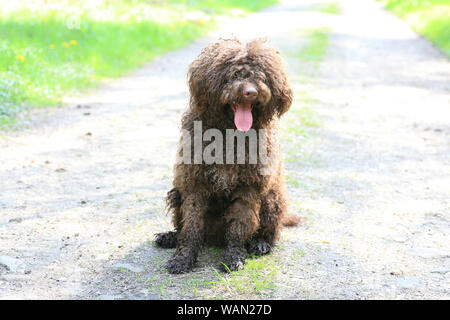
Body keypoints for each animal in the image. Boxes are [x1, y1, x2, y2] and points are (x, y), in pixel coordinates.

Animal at [155, 37, 298, 272]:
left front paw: (234, 257)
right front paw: (183, 257)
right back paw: (170, 237)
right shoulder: (195, 183)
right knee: (184, 224)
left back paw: (260, 243)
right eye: (234, 74)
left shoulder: (248, 187)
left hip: (272, 198)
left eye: (262, 76)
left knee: (269, 231)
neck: (229, 133)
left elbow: (239, 225)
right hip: (176, 193)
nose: (251, 92)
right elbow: (191, 226)